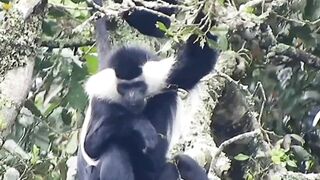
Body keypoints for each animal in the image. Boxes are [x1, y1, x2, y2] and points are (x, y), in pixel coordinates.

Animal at [76, 0, 219, 180]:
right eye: (124, 88)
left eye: (138, 86)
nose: (132, 96)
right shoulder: (102, 99)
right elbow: (90, 145)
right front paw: (141, 126)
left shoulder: (168, 77)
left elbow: (198, 61)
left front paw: (205, 8)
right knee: (114, 149)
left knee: (182, 162)